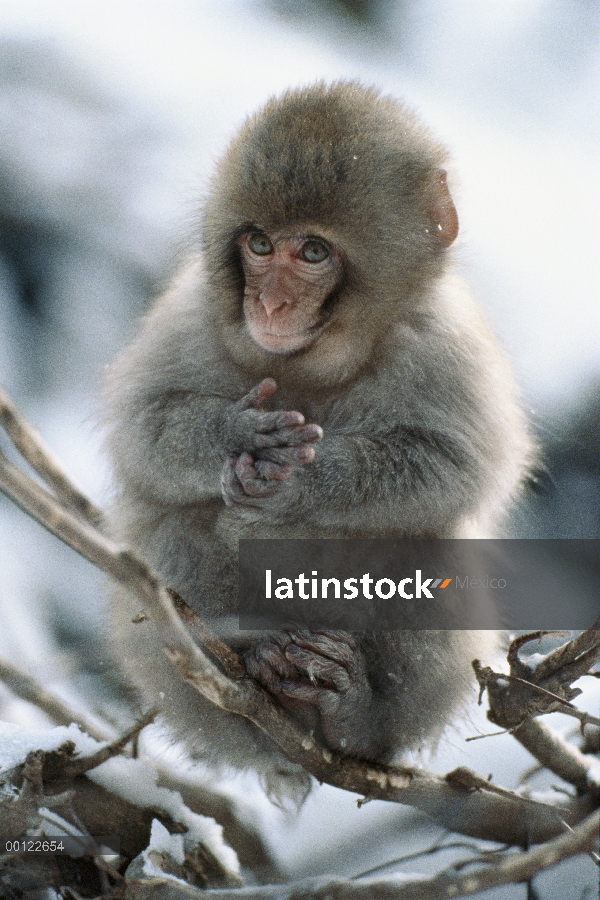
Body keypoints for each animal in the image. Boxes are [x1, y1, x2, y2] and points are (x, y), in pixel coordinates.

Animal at [105, 84, 532, 800]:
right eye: (258, 244)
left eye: (311, 252)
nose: (271, 305)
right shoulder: (192, 313)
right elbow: (143, 431)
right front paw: (236, 440)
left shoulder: (441, 341)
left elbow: (455, 466)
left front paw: (303, 481)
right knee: (165, 534)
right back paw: (252, 670)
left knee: (429, 546)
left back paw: (350, 714)